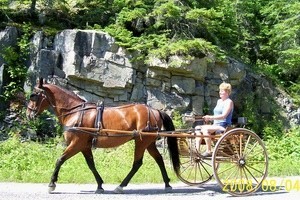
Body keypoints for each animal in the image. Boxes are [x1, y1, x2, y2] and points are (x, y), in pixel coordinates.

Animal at [25, 78, 179, 194]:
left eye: (34, 95)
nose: (28, 114)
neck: (76, 112)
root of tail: (155, 111)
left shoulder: (76, 143)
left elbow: (60, 160)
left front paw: (52, 184)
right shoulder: (84, 146)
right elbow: (91, 164)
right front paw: (99, 185)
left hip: (142, 141)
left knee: (137, 163)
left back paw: (121, 186)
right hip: (149, 142)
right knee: (159, 159)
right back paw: (167, 184)